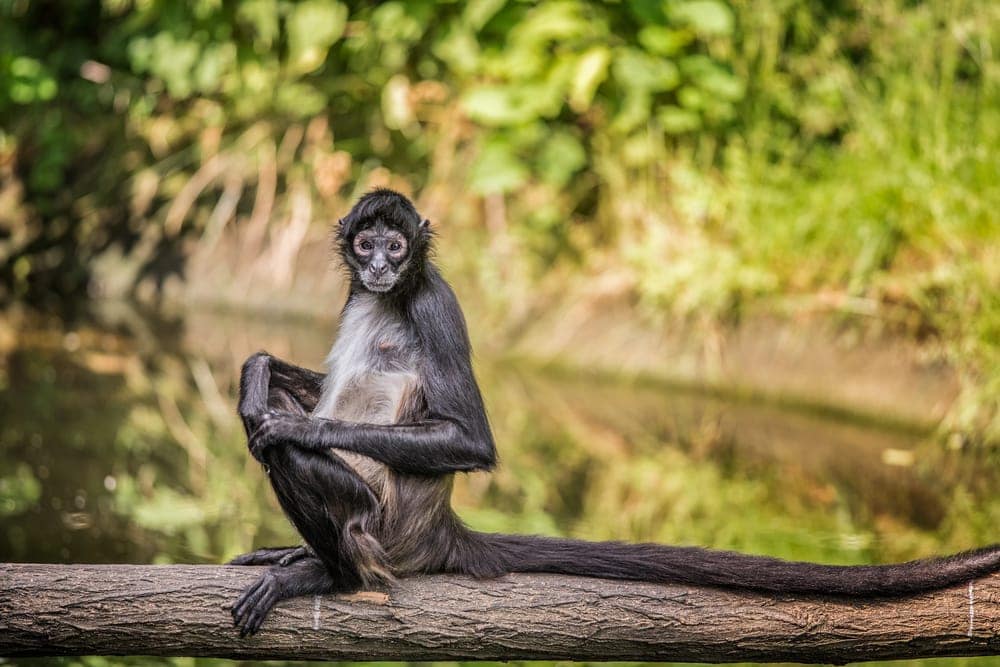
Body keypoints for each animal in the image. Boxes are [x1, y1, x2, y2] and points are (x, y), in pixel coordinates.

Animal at [228, 188, 1000, 637]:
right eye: (366, 243)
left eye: (397, 244)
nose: (381, 265)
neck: (390, 295)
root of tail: (435, 530)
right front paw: (256, 369)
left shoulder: (433, 299)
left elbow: (469, 440)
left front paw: (295, 421)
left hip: (380, 525)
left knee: (284, 454)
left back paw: (328, 573)